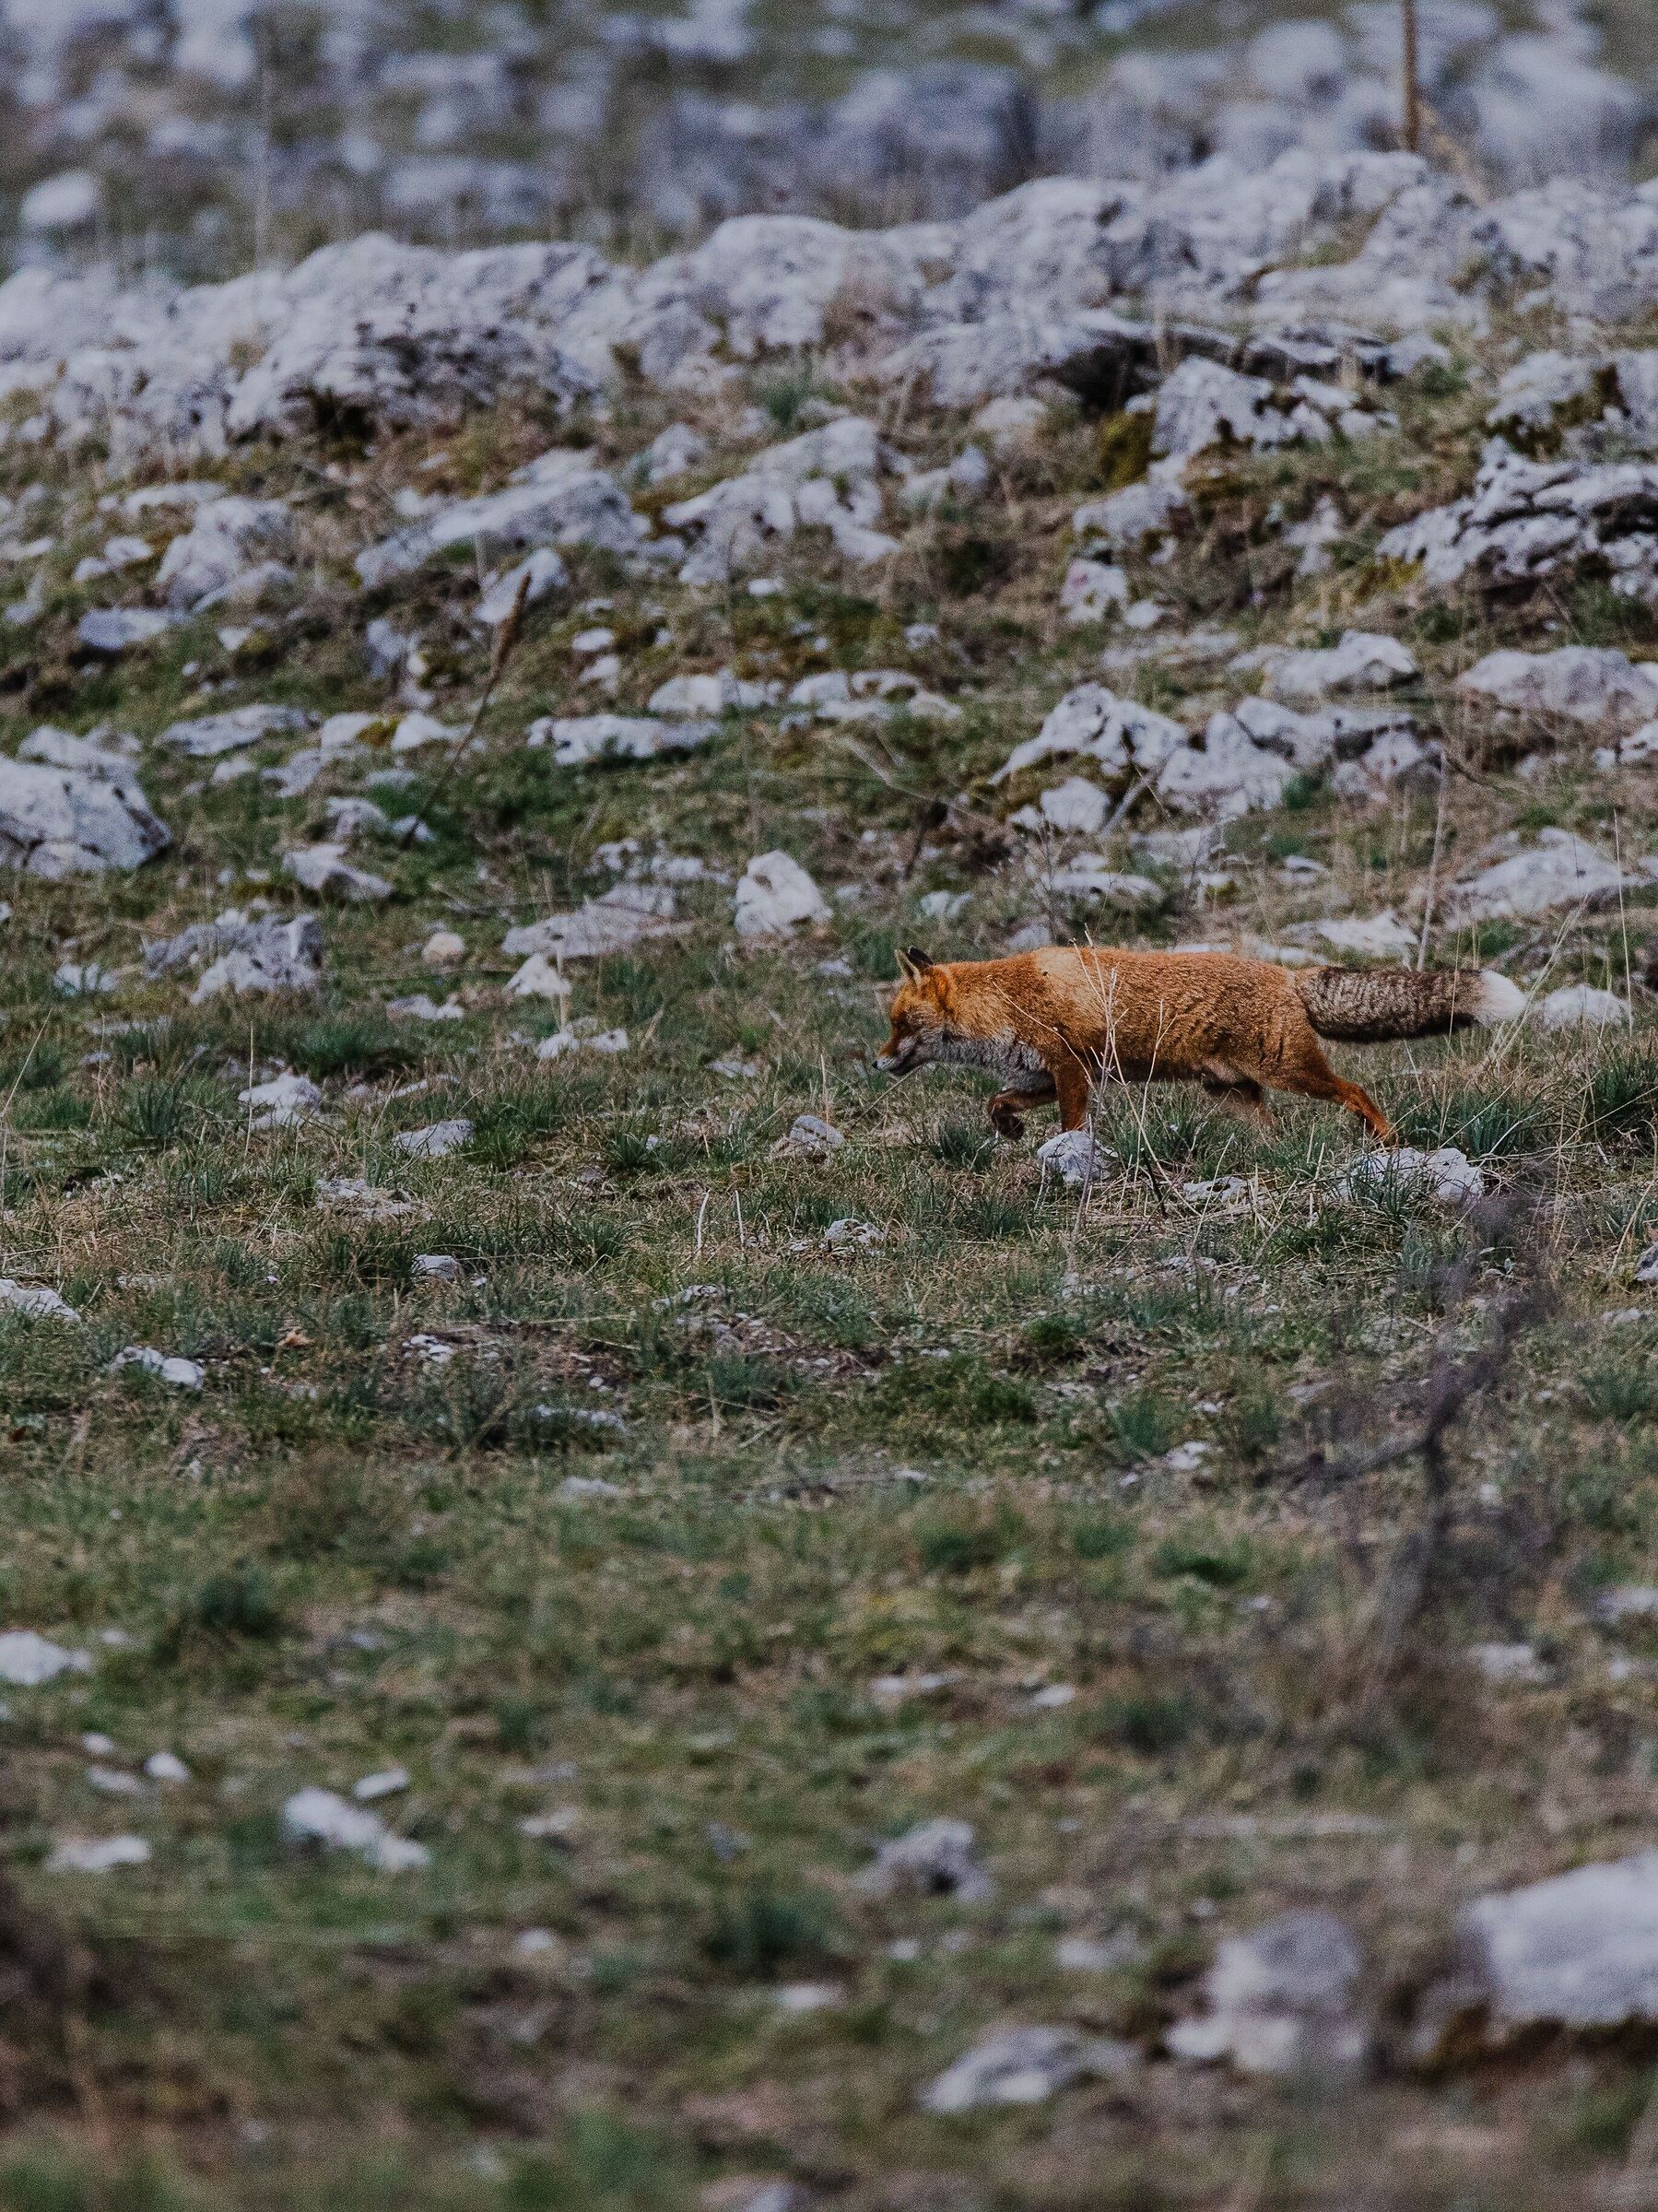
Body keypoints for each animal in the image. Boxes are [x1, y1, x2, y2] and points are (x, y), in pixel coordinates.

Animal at [875, 943, 1525, 1145]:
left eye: (900, 1022)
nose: (876, 1062)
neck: (1008, 999)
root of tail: (1286, 974)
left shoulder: (1072, 1070)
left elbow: (1071, 1126)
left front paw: (1067, 1160)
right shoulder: (1047, 1074)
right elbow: (998, 1101)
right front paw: (1009, 1127)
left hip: (1293, 1072)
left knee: (1357, 1090)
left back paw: (1385, 1139)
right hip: (1232, 1092)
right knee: (1276, 1133)